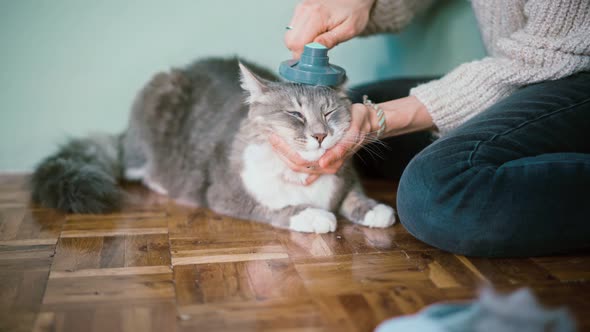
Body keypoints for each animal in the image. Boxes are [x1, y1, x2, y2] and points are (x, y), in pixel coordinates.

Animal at [34, 57, 400, 233]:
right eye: (295, 114)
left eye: (329, 112)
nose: (321, 135)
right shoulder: (227, 194)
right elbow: (277, 208)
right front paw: (313, 216)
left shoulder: (345, 177)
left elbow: (353, 195)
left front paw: (376, 210)